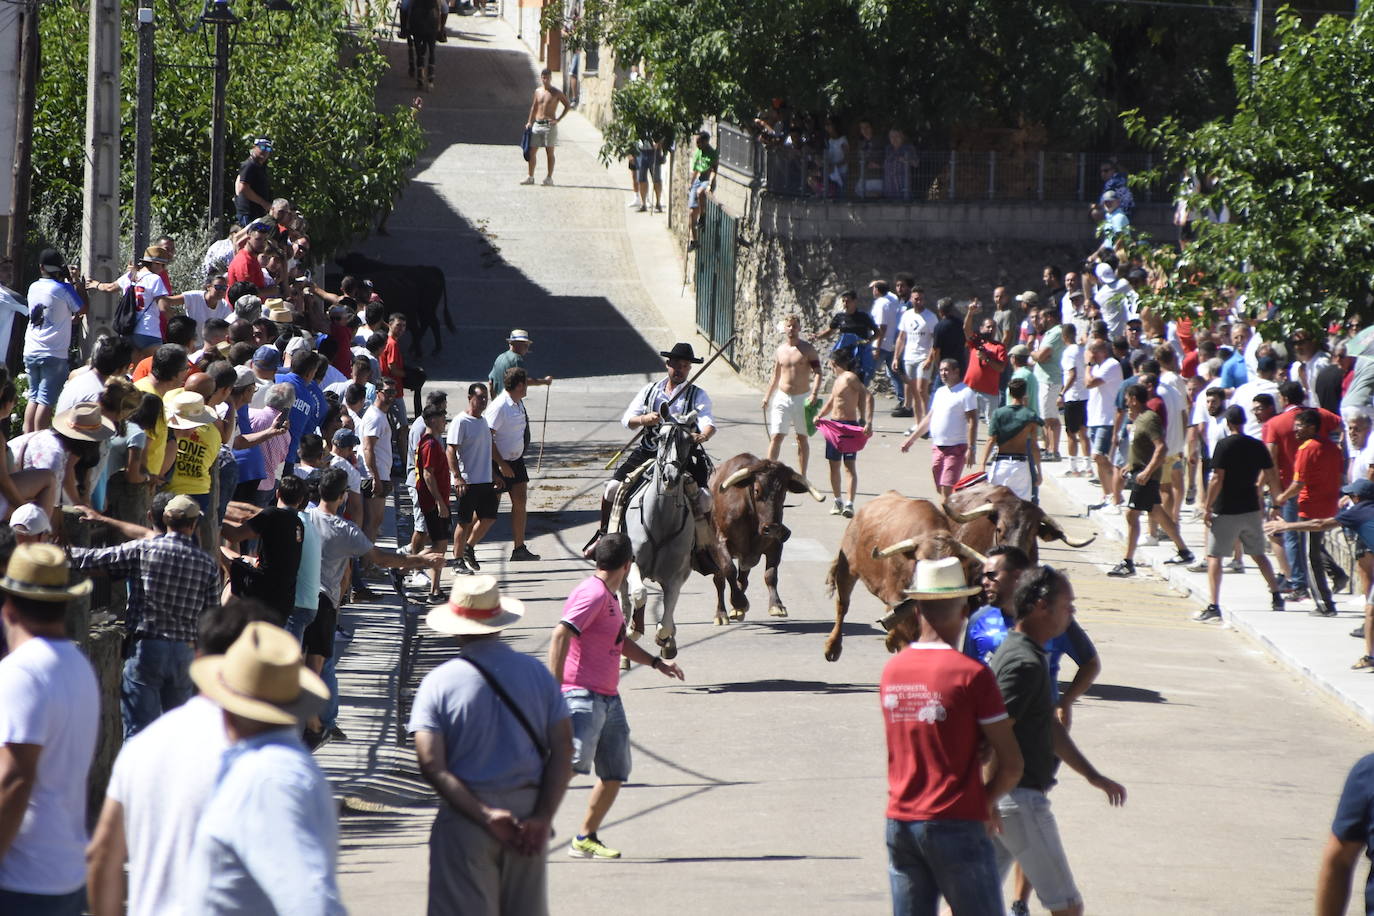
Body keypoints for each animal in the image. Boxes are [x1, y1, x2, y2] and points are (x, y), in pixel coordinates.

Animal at [714, 455, 818, 626]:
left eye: (783, 492)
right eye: (757, 490)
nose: (773, 528)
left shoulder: (775, 544)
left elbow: (770, 574)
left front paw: (777, 605)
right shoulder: (720, 543)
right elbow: (729, 570)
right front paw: (740, 602)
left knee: (742, 580)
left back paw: (737, 611)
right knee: (720, 581)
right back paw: (721, 614)